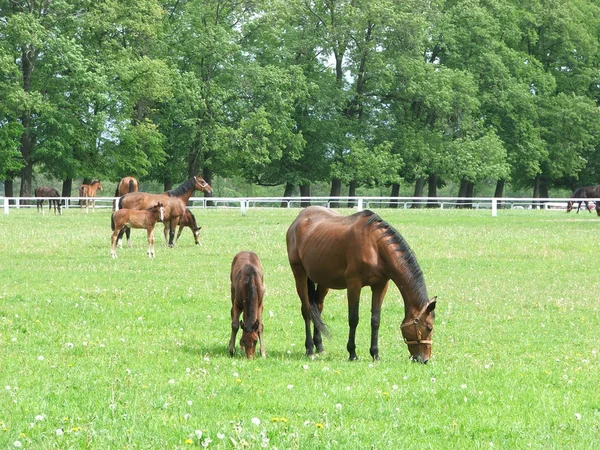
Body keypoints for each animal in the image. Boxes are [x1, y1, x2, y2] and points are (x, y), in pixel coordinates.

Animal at [286, 206, 436, 364]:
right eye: (429, 327)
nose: (424, 359)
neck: (375, 246)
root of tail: (298, 220)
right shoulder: (354, 284)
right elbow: (353, 318)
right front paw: (352, 353)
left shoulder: (380, 286)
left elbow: (375, 320)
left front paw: (375, 353)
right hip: (300, 275)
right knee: (307, 310)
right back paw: (309, 349)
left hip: (322, 280)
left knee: (318, 308)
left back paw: (319, 346)